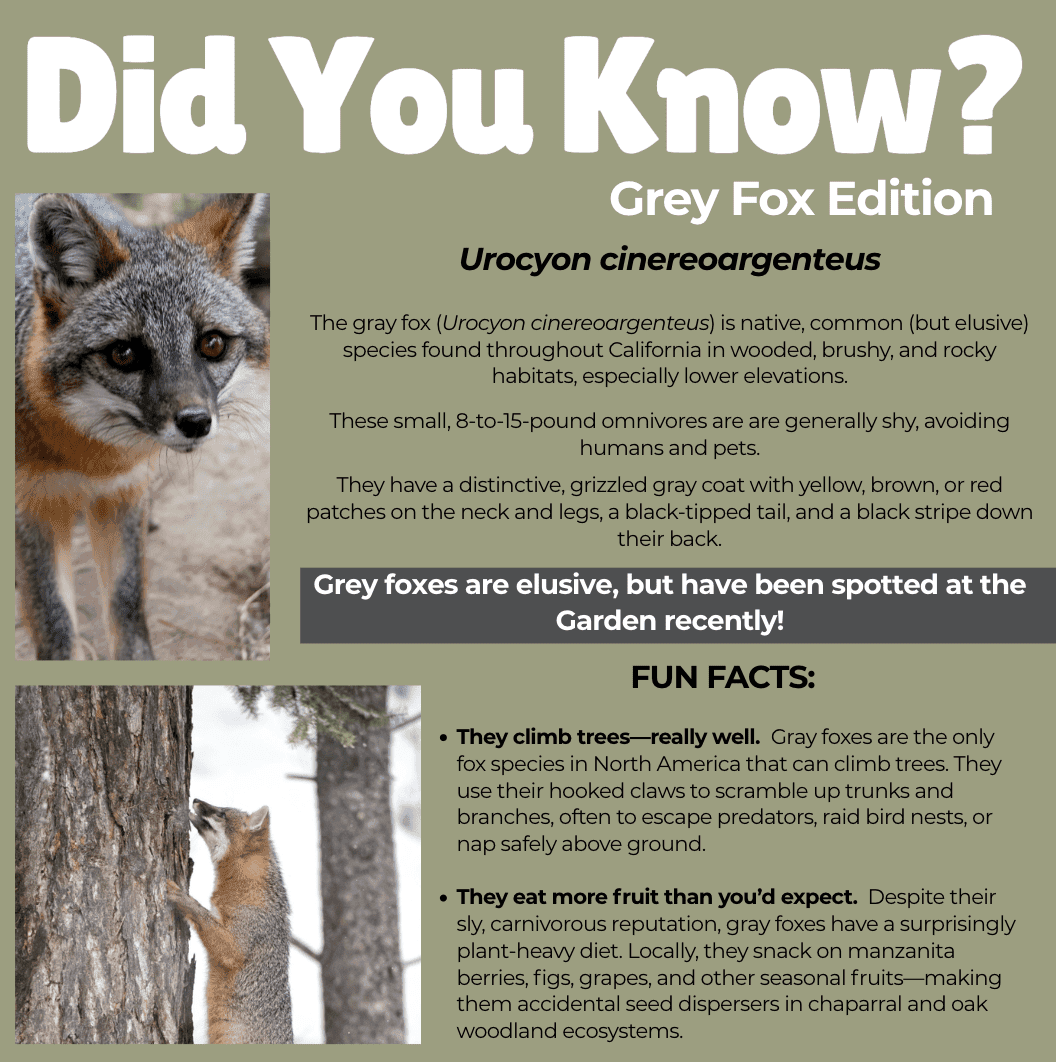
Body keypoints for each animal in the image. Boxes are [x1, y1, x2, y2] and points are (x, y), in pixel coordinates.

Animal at [15, 193, 270, 659]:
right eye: (124, 354)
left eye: (212, 344)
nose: (195, 422)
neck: (88, 460)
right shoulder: (34, 506)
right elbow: (54, 621)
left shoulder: (123, 493)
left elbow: (127, 603)